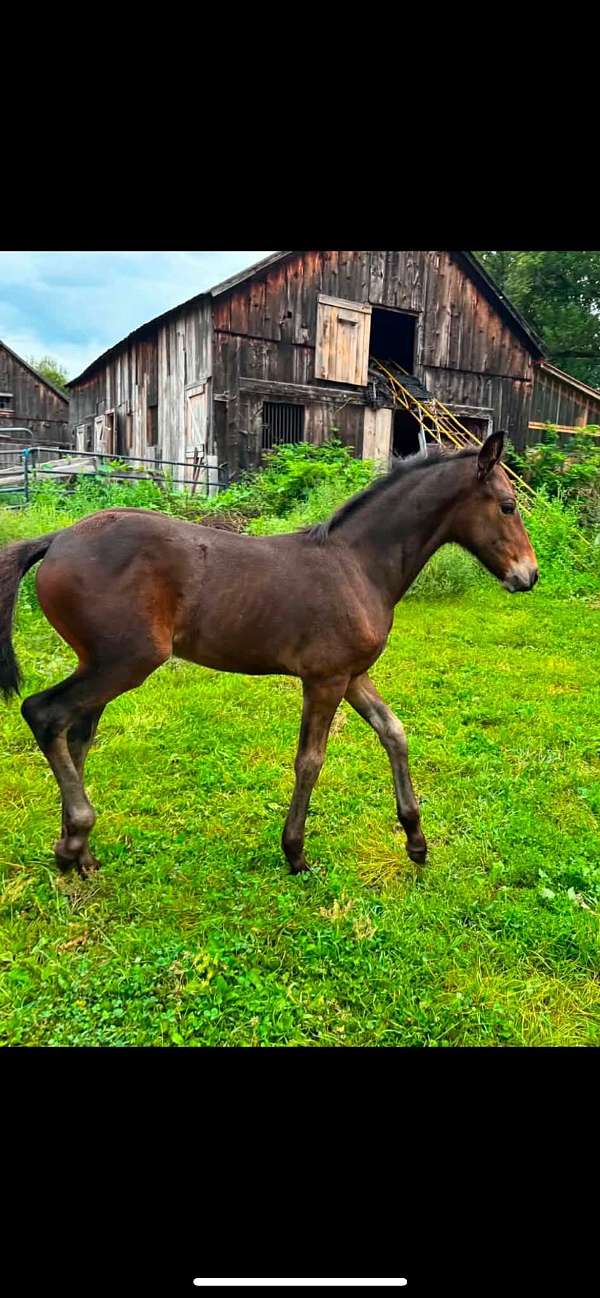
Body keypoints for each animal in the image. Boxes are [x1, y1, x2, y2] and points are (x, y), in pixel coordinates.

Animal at [0, 431, 538, 879]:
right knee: (45, 713)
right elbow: (310, 760)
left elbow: (394, 733)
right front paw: (295, 852)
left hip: (100, 663)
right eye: (508, 506)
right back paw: (75, 840)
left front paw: (416, 840)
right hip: (124, 661)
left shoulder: (353, 675)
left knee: (76, 734)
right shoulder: (325, 679)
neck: (357, 565)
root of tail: (57, 540)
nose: (528, 576)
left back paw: (79, 852)